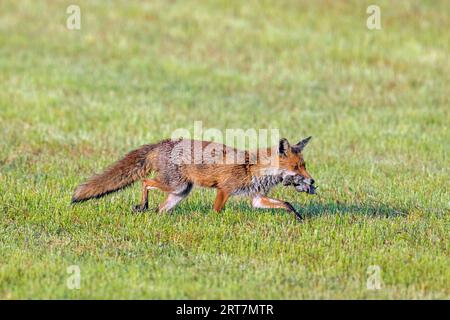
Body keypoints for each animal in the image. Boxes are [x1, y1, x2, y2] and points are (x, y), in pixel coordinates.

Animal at [72, 136, 314, 221]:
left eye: (304, 166)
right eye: (296, 167)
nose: (312, 182)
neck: (252, 168)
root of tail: (161, 143)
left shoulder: (256, 198)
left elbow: (286, 203)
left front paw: (298, 217)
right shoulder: (224, 190)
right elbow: (217, 210)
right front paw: (215, 223)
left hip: (180, 192)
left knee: (161, 208)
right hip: (175, 184)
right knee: (145, 182)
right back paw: (142, 206)